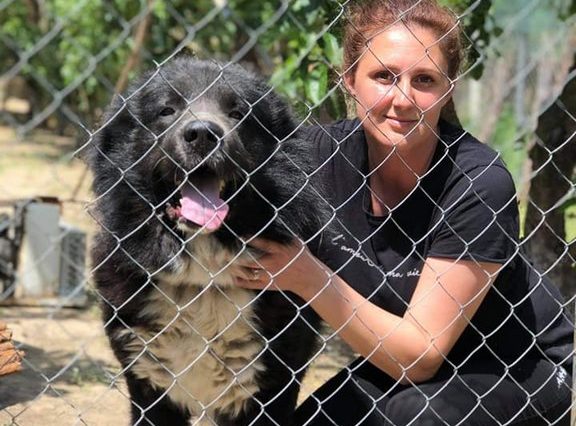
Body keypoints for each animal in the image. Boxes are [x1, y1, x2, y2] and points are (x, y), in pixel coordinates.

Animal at [87, 57, 330, 425]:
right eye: (167, 110)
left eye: (238, 113)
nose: (203, 134)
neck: (204, 275)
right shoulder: (148, 381)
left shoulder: (270, 384)